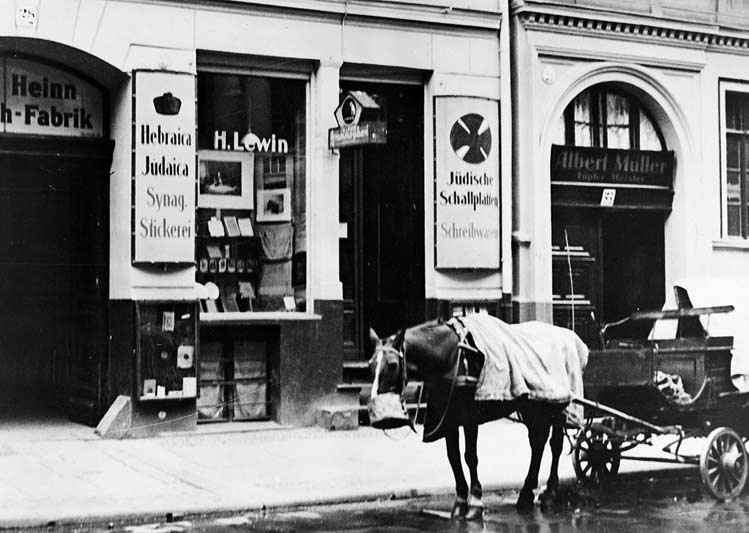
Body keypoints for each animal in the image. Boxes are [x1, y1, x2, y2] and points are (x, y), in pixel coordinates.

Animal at [366, 318, 588, 516]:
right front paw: (460, 502)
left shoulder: (469, 417)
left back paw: (549, 493)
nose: (380, 415)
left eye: (393, 364)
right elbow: (453, 457)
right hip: (533, 406)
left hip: (557, 407)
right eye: (370, 365)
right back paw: (526, 494)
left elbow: (470, 457)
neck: (452, 357)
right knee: (538, 443)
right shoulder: (449, 419)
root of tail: (566, 334)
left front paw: (475, 501)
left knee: (555, 445)